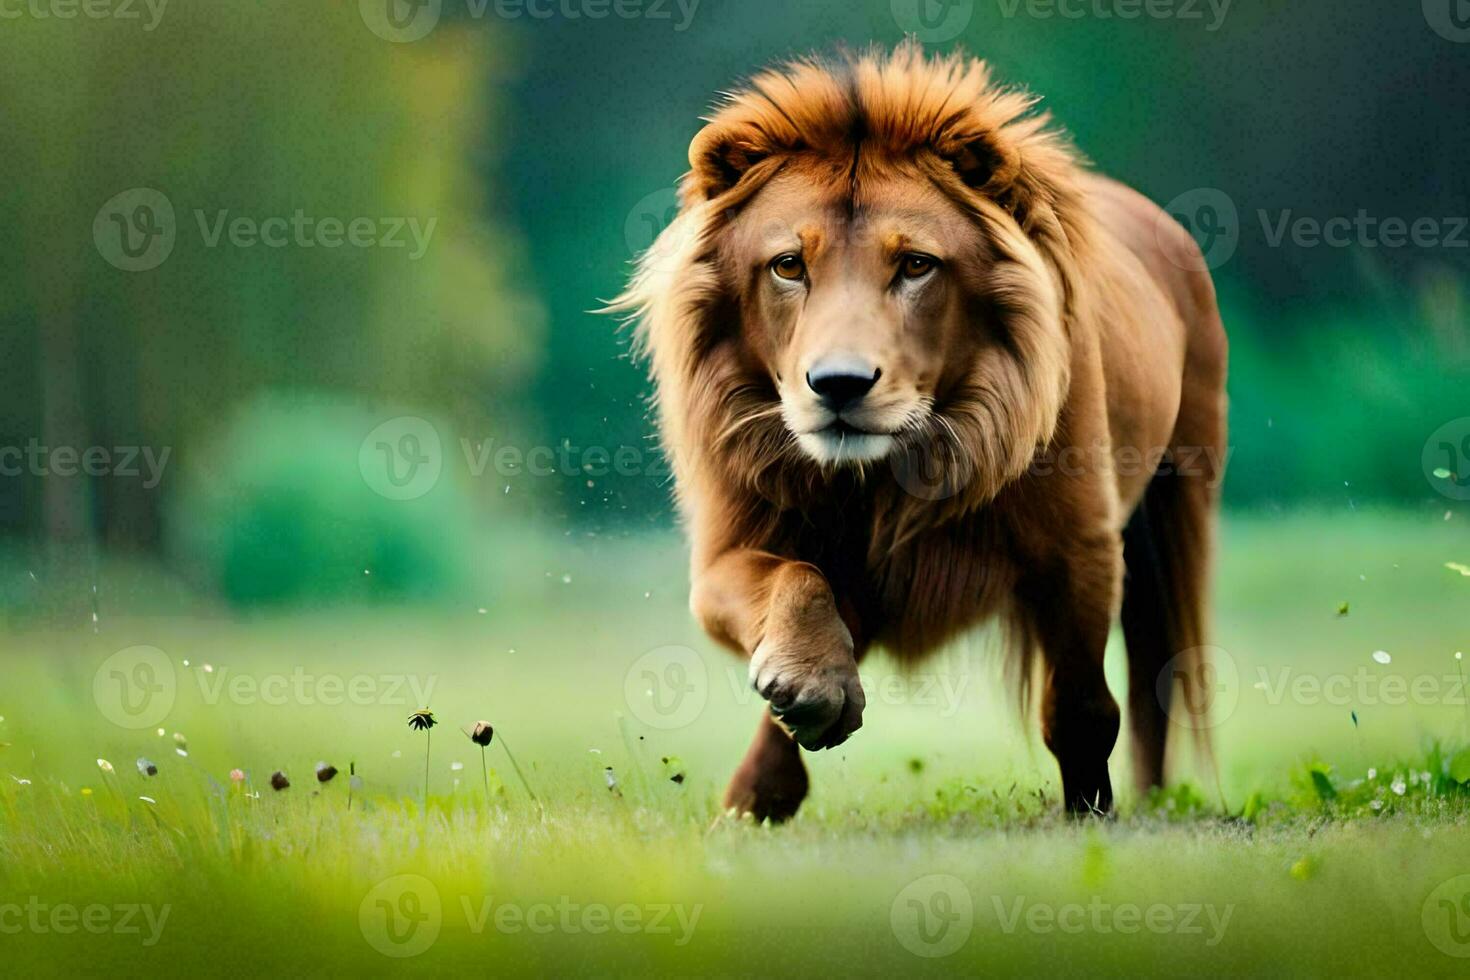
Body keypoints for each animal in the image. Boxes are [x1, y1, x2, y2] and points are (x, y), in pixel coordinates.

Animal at [608, 42, 1228, 816]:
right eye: (788, 266)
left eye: (915, 265)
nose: (838, 384)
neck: (890, 473)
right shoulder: (727, 553)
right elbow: (797, 579)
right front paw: (810, 688)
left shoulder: (1080, 546)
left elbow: (1082, 708)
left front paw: (1090, 813)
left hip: (1176, 506)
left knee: (1152, 684)